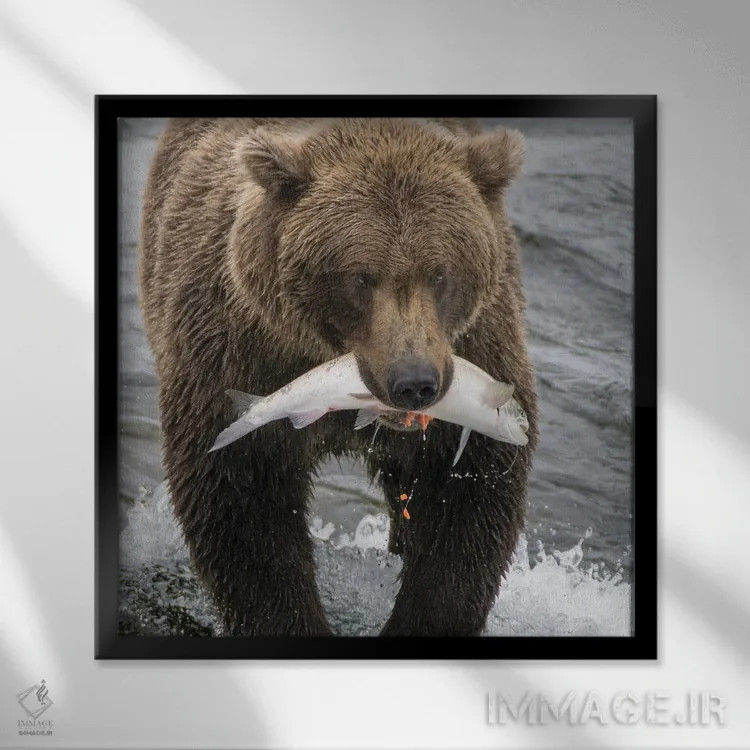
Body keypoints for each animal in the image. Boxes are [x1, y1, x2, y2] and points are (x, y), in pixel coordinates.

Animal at [139, 117, 538, 636]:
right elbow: (242, 512)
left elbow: (468, 507)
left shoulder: (481, 349)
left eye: (440, 273)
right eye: (360, 277)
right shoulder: (232, 349)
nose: (414, 382)